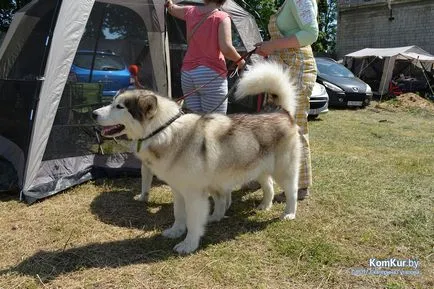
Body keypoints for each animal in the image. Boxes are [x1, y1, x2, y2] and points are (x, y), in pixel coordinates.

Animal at [93, 62, 300, 253]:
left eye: (119, 106)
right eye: (112, 102)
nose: (93, 113)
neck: (164, 130)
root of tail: (281, 111)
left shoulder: (194, 195)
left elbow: (193, 222)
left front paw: (189, 244)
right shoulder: (178, 190)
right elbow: (178, 214)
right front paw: (176, 231)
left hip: (284, 172)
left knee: (292, 193)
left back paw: (289, 214)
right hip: (259, 169)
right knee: (269, 186)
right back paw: (263, 206)